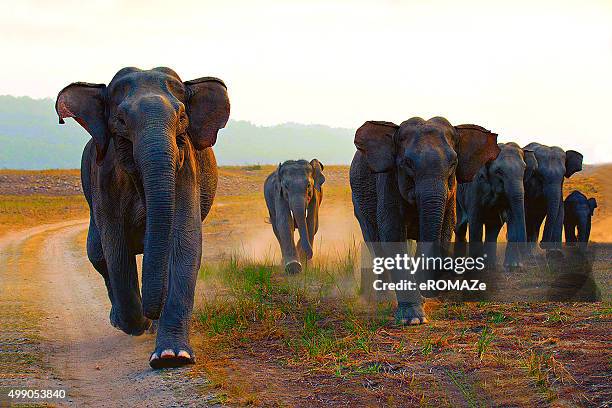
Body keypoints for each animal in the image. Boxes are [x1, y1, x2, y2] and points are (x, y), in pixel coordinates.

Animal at [55, 65, 231, 368]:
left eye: (181, 117)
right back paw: (122, 321)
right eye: (121, 120)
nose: (152, 313)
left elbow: (184, 243)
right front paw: (138, 325)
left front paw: (171, 357)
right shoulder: (105, 177)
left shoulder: (186, 168)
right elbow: (116, 249)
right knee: (98, 254)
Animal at [350, 118, 502, 326]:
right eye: (407, 163)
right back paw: (383, 299)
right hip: (360, 204)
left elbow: (444, 230)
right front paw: (413, 318)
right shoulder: (388, 181)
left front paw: (421, 301)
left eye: (453, 163)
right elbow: (392, 235)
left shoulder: (451, 193)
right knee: (376, 244)